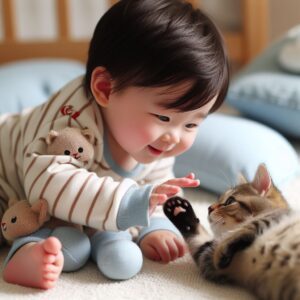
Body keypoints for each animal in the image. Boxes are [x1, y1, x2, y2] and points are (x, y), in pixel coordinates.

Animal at [164, 164, 300, 300]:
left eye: (230, 201)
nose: (209, 208)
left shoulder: (273, 217)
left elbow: (249, 226)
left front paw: (222, 249)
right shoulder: (209, 260)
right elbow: (197, 238)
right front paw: (179, 211)